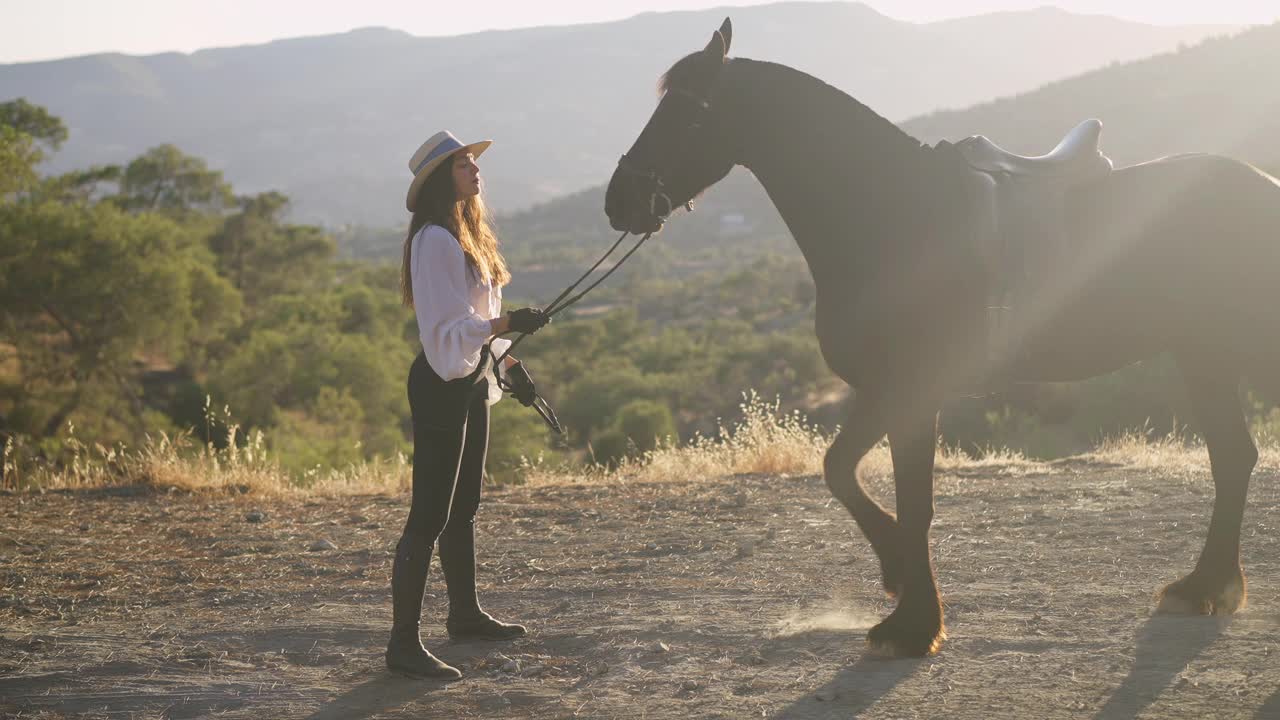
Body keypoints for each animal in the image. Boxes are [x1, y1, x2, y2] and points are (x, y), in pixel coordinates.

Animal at [604, 18, 1280, 655]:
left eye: (688, 113)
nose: (619, 201)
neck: (894, 217)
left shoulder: (914, 393)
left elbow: (914, 502)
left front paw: (912, 624)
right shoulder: (882, 391)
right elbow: (839, 470)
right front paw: (896, 573)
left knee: (1233, 456)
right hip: (1201, 354)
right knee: (1232, 457)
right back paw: (1207, 586)